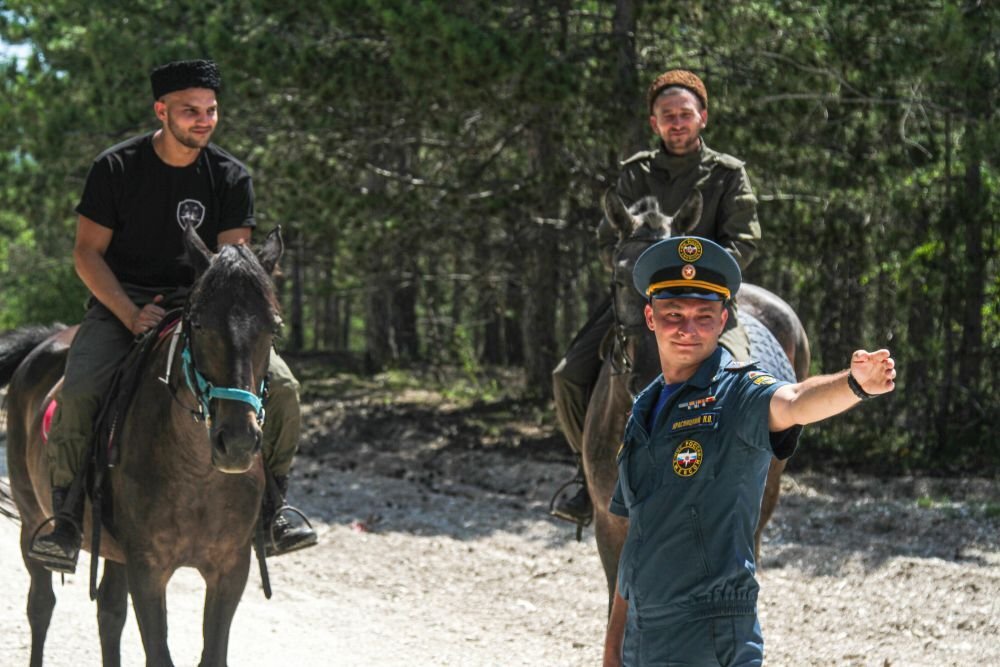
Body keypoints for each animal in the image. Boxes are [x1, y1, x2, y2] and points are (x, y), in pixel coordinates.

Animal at [0, 227, 290, 664]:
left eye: (272, 327)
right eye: (198, 323)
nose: (237, 442)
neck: (196, 470)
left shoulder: (230, 568)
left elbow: (212, 654)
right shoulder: (148, 569)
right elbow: (158, 652)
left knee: (109, 613)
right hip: (32, 518)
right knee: (41, 605)